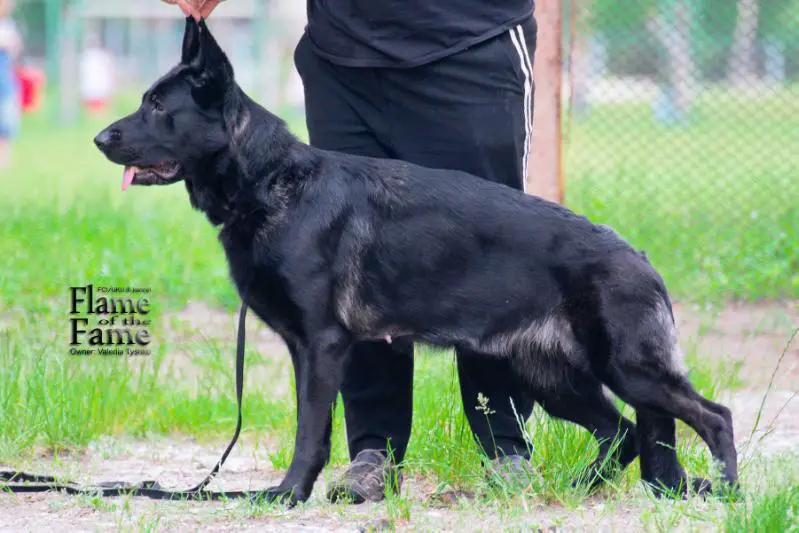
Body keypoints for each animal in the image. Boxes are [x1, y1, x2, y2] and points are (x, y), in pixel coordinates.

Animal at [92, 18, 736, 504]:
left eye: (156, 106)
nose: (100, 139)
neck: (271, 181)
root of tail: (639, 257)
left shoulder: (322, 346)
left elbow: (309, 432)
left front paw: (288, 495)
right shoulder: (318, 350)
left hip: (626, 371)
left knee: (714, 416)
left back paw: (728, 491)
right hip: (557, 379)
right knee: (623, 433)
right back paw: (578, 488)